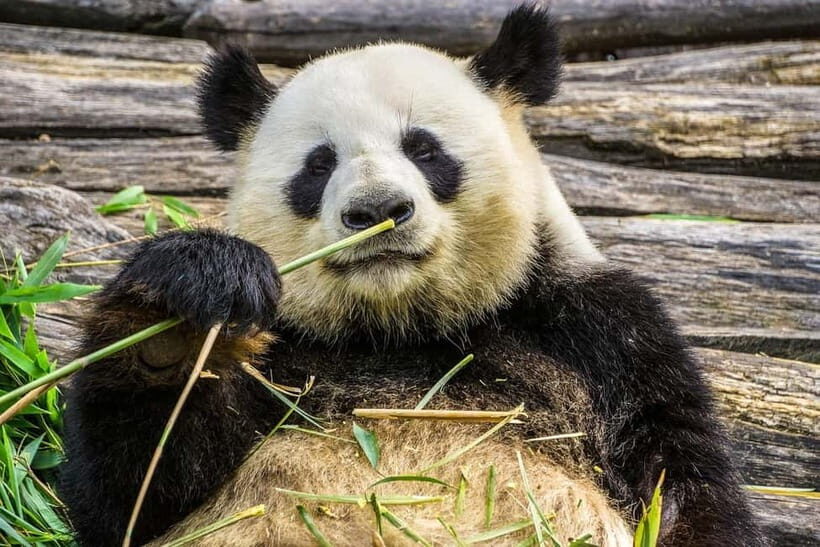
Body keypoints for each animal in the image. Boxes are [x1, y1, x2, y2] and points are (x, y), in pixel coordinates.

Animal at [58, 5, 765, 547]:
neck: (400, 328)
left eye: (424, 149)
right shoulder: (288, 356)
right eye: (319, 164)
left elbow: (683, 486)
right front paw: (179, 316)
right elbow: (136, 497)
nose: (377, 211)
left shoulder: (604, 337)